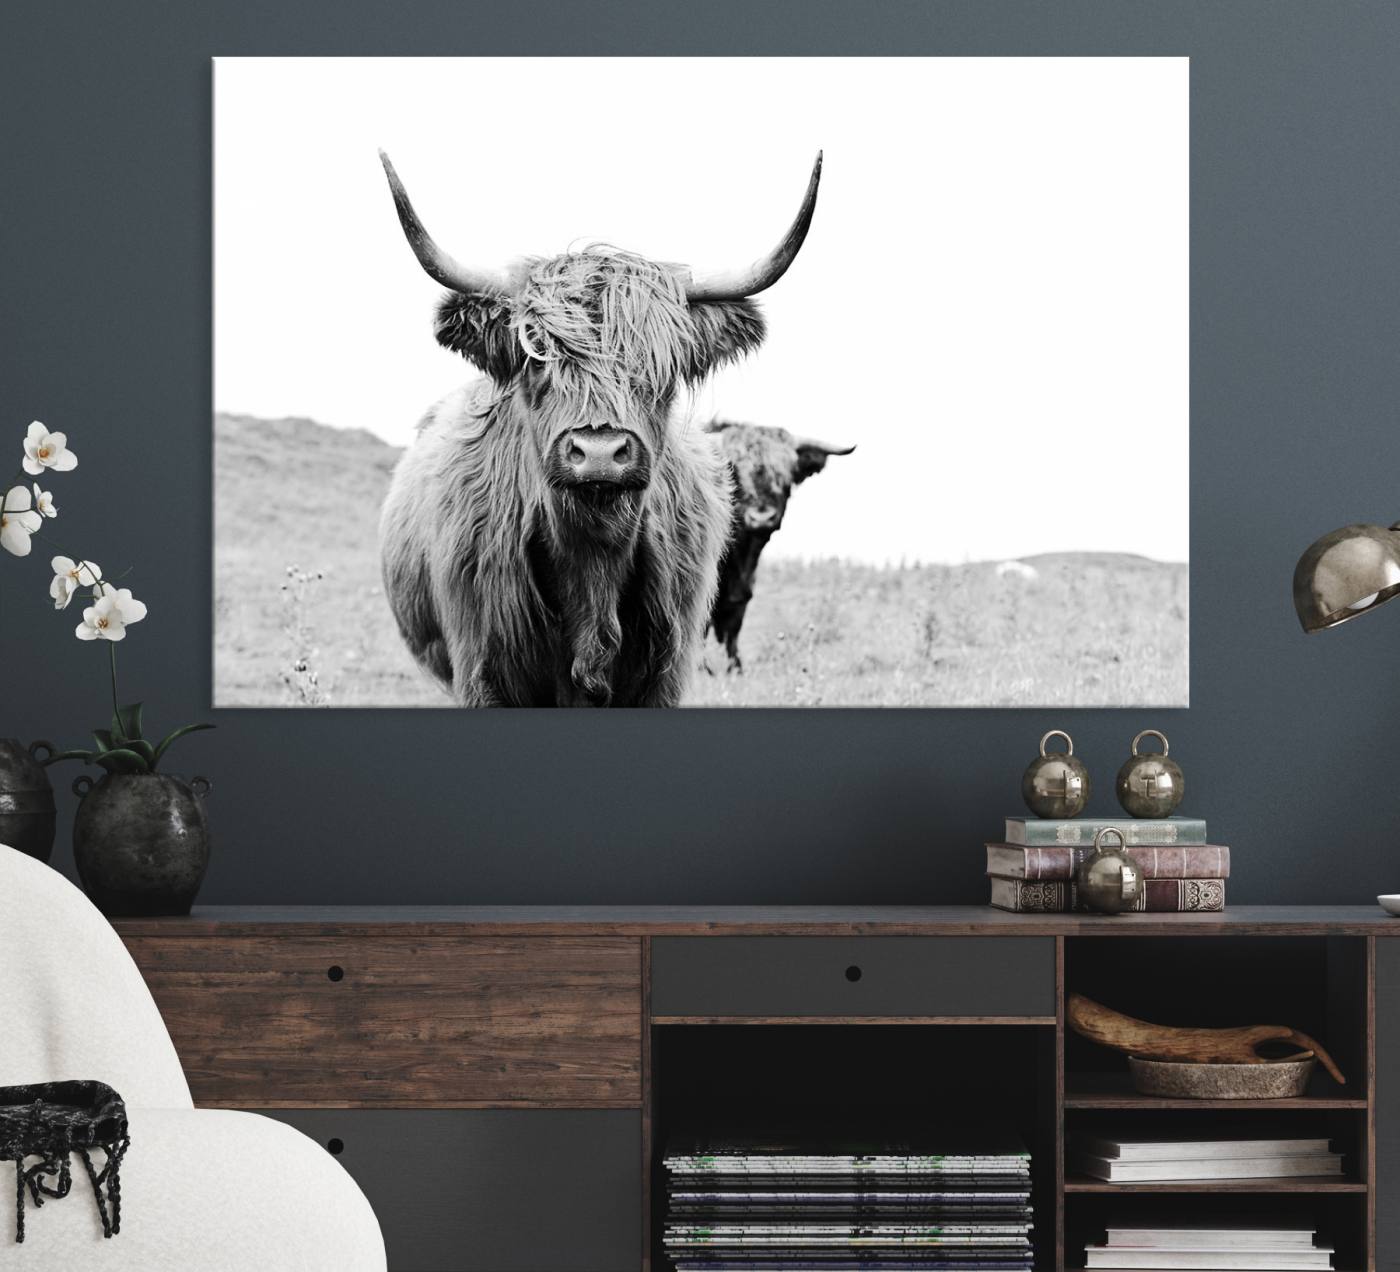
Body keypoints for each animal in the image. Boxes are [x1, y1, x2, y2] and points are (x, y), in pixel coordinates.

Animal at [376, 151, 822, 706]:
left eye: (663, 364)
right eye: (536, 355)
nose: (600, 452)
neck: (592, 564)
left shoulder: (665, 674)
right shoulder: (482, 671)